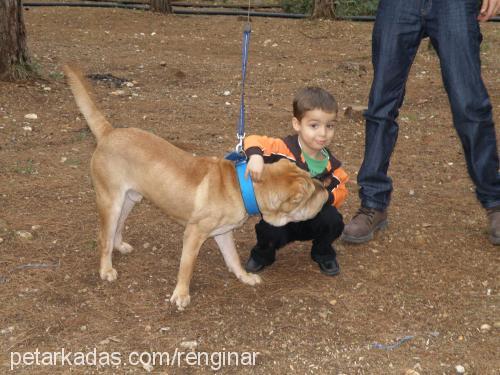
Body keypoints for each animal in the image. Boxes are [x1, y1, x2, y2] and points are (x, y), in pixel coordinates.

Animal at [63, 65, 328, 312]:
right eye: (307, 193)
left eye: (309, 175)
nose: (324, 185)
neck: (243, 187)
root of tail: (109, 132)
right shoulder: (193, 234)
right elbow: (186, 267)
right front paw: (180, 295)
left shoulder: (223, 233)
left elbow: (233, 259)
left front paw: (244, 277)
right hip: (110, 201)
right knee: (104, 237)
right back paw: (106, 269)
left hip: (129, 199)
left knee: (117, 228)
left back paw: (120, 246)